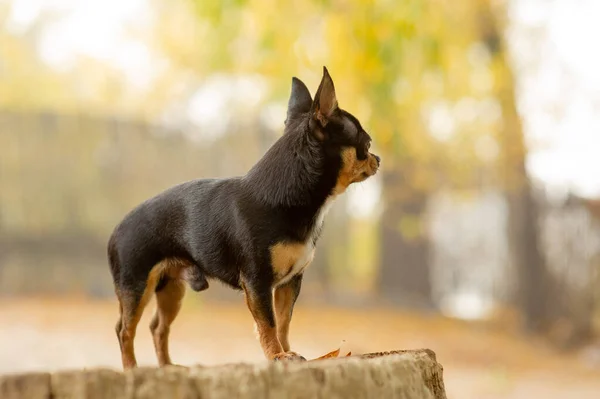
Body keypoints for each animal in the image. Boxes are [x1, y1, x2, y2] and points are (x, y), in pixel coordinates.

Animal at [108, 67, 380, 370]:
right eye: (366, 144)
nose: (377, 159)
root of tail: (117, 227)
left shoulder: (288, 284)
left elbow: (284, 322)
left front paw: (288, 352)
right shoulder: (257, 282)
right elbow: (269, 324)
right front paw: (277, 356)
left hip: (171, 288)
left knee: (157, 327)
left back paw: (168, 367)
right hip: (137, 287)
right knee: (125, 330)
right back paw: (131, 369)